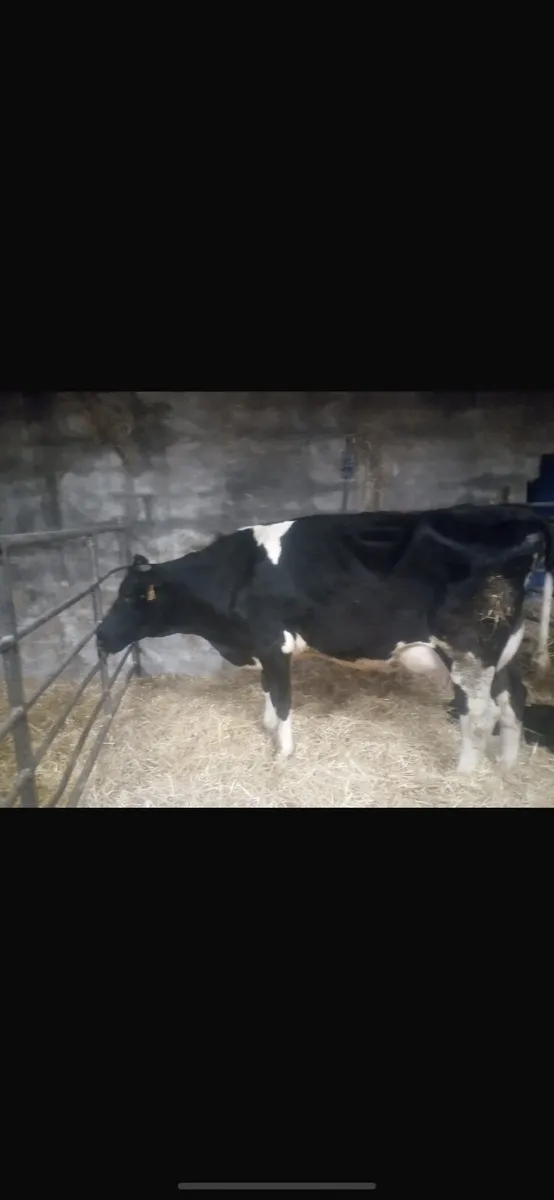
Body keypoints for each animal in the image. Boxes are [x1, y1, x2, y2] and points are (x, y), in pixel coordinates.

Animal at [95, 505, 553, 775]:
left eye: (131, 597)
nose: (99, 637)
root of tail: (517, 515)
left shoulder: (272, 641)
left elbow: (282, 698)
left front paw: (282, 753)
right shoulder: (264, 646)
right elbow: (268, 690)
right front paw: (267, 729)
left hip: (468, 650)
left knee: (479, 716)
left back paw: (462, 776)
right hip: (500, 650)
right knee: (513, 698)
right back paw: (507, 767)